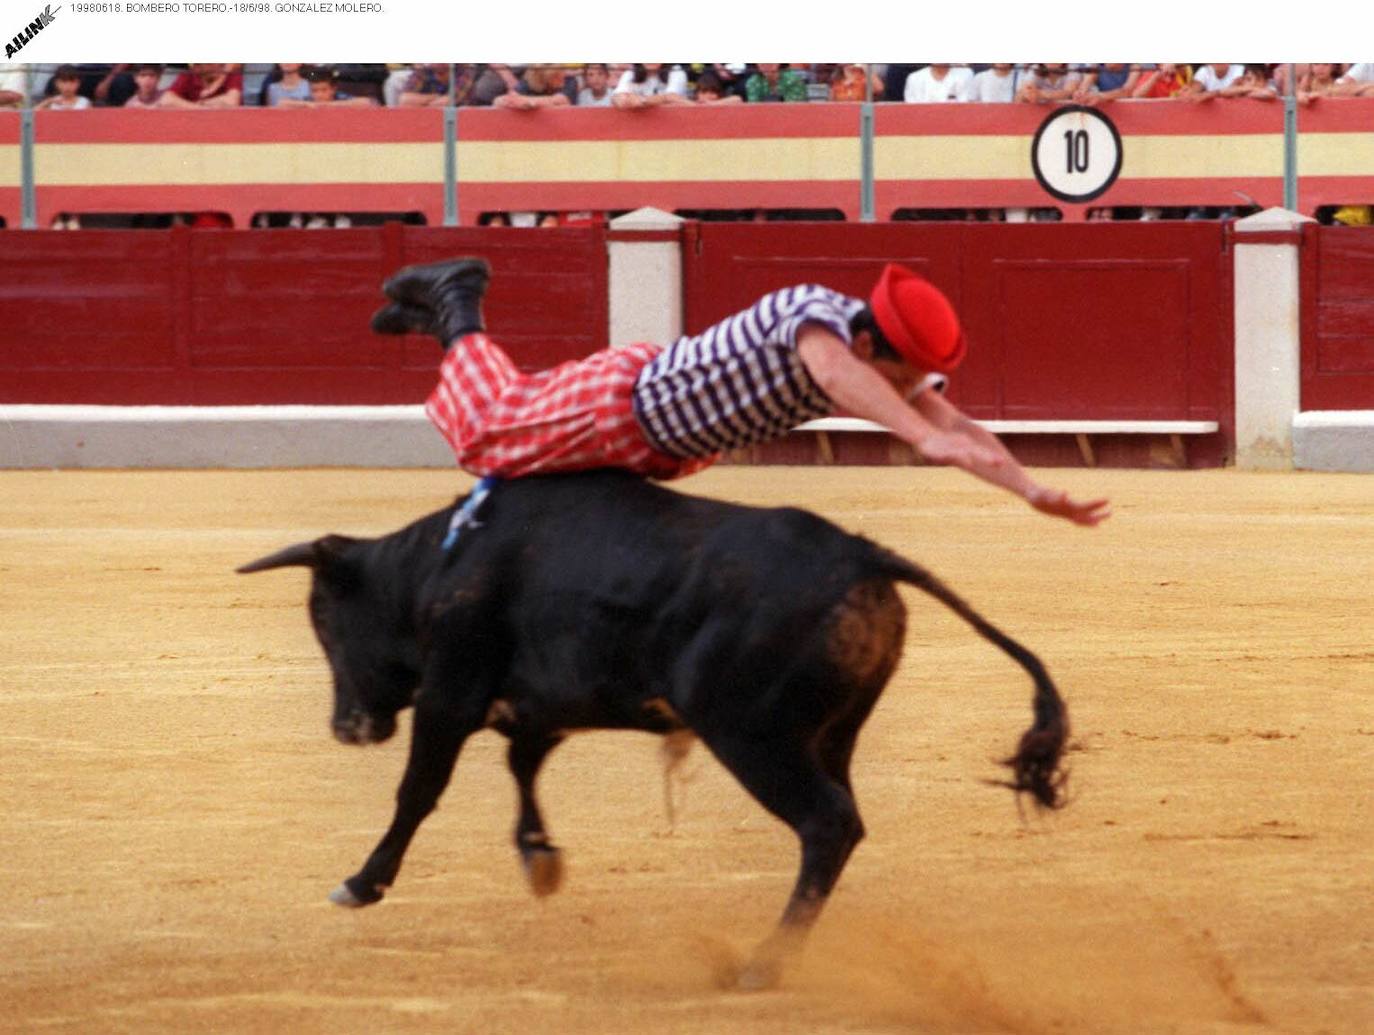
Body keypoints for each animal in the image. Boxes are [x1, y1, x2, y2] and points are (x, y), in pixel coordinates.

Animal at [241, 467, 1066, 984]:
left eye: (324, 617)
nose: (347, 726)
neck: (434, 567)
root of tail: (866, 556)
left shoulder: (451, 693)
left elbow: (419, 790)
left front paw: (360, 882)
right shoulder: (544, 703)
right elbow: (522, 766)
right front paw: (540, 857)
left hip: (753, 735)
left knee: (829, 822)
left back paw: (763, 962)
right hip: (832, 734)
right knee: (841, 820)